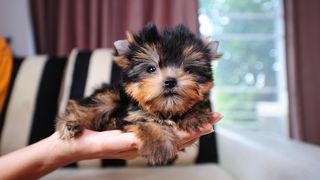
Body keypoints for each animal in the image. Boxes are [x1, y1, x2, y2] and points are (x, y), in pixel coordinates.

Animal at [55, 23, 220, 165]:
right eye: (151, 69)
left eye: (188, 69)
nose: (170, 81)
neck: (165, 109)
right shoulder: (131, 116)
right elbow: (147, 123)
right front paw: (162, 145)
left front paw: (194, 115)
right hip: (109, 97)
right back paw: (70, 124)